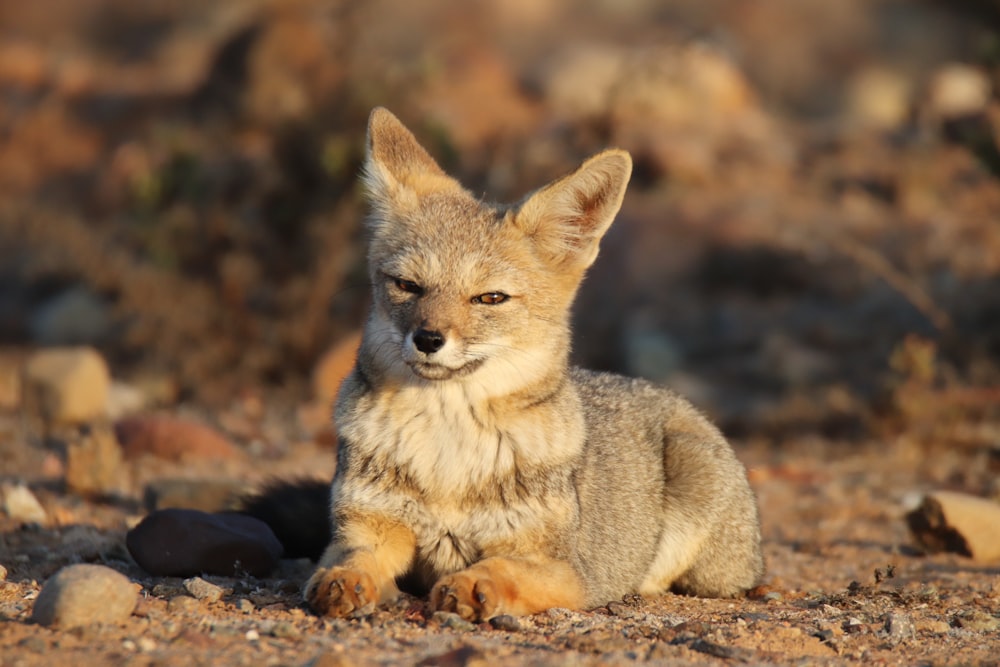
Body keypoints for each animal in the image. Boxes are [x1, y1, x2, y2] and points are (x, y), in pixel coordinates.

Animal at [250, 107, 764, 624]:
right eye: (408, 286)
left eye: (490, 298)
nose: (428, 339)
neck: (448, 451)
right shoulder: (367, 525)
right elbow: (355, 557)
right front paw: (344, 580)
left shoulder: (565, 570)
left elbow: (505, 569)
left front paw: (474, 586)